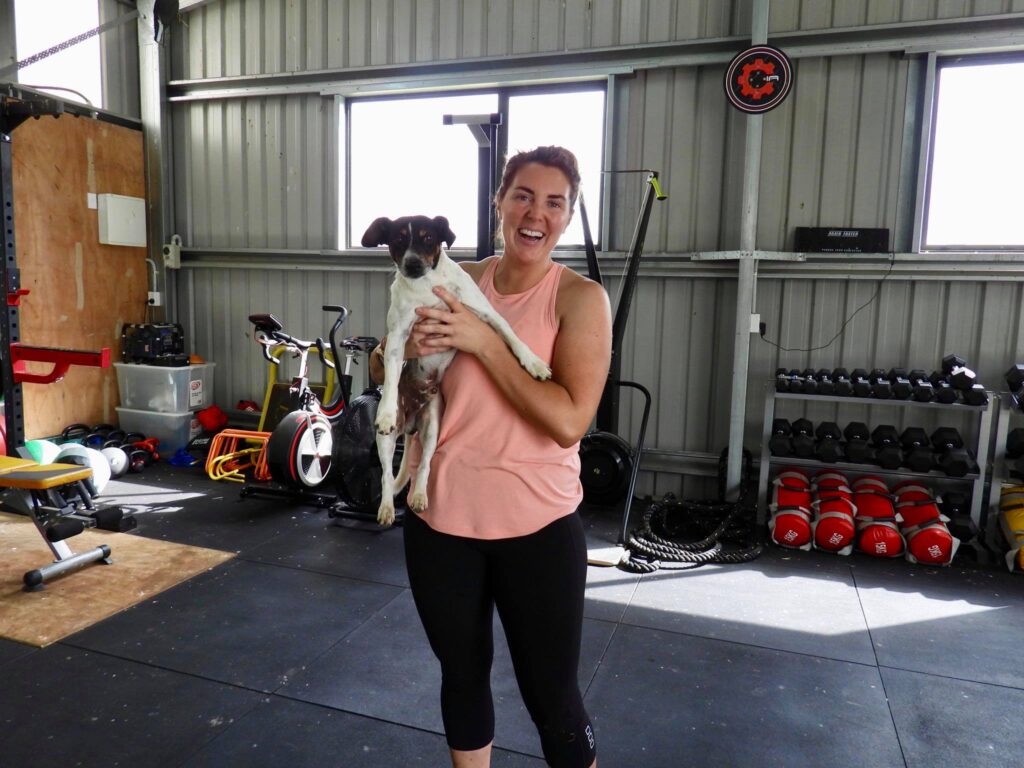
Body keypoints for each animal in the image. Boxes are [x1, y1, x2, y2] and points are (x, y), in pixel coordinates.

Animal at [362, 217, 552, 528]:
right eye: (398, 239)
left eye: (428, 237)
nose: (412, 264)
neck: (426, 286)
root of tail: (411, 426)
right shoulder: (398, 339)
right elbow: (389, 379)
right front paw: (387, 413)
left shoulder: (486, 314)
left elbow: (511, 335)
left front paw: (533, 362)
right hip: (386, 441)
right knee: (387, 475)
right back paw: (388, 507)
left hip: (432, 427)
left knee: (424, 465)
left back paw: (419, 496)